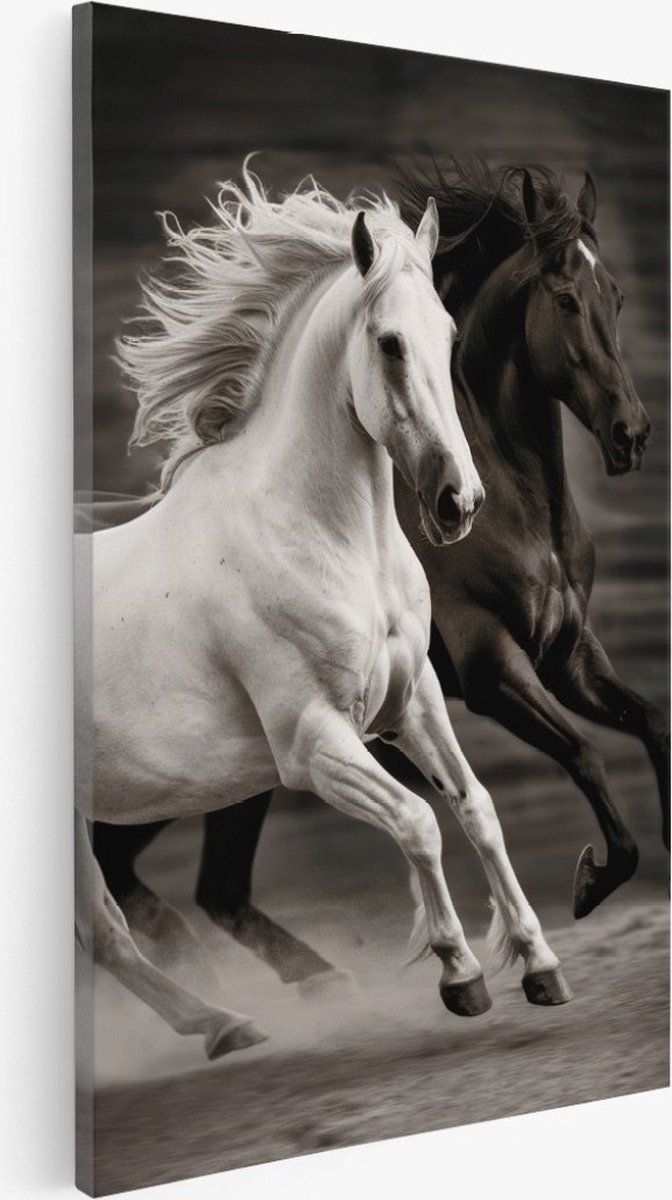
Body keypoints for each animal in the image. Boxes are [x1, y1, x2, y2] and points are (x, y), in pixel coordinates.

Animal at [93, 162, 668, 997]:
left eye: (617, 296)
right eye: (565, 298)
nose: (631, 435)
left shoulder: (567, 656)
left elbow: (648, 723)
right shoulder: (492, 671)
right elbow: (583, 755)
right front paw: (588, 885)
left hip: (231, 774)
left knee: (211, 887)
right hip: (186, 769)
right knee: (142, 874)